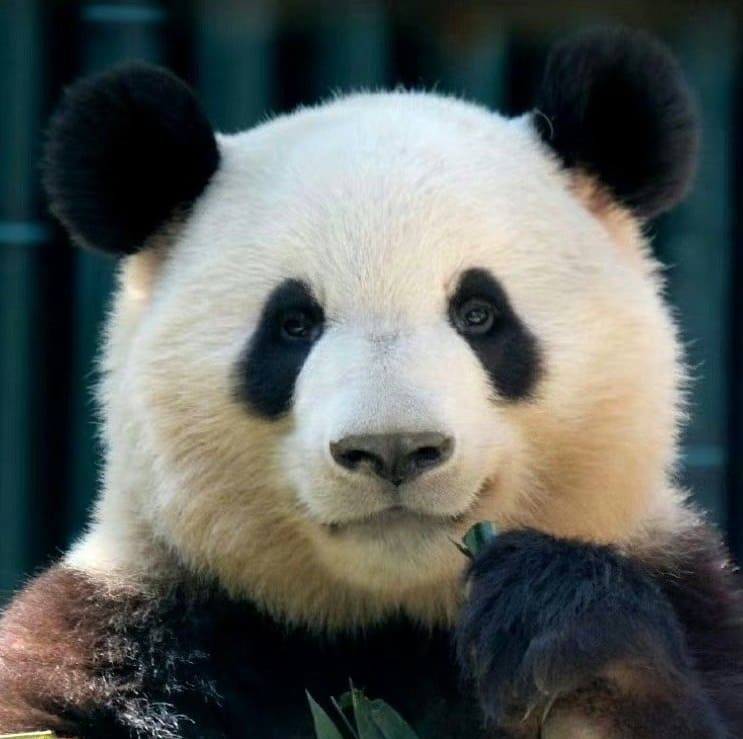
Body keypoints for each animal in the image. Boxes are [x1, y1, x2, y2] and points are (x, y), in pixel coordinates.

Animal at [1, 25, 742, 739]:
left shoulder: (692, 596)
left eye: (479, 313)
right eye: (293, 323)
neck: (390, 629)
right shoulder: (123, 633)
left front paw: (561, 636)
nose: (394, 447)